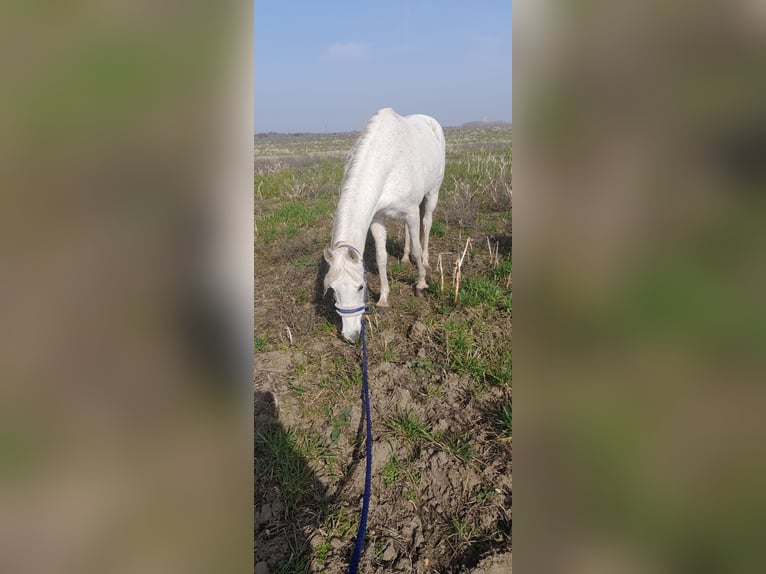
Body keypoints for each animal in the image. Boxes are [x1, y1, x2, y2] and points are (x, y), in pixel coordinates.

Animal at [326, 108, 448, 342]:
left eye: (360, 287)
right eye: (333, 290)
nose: (351, 335)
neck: (387, 161)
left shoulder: (411, 212)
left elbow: (417, 248)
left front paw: (421, 284)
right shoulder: (377, 218)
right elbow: (381, 257)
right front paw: (383, 299)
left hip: (432, 194)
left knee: (426, 224)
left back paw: (425, 260)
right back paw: (405, 258)